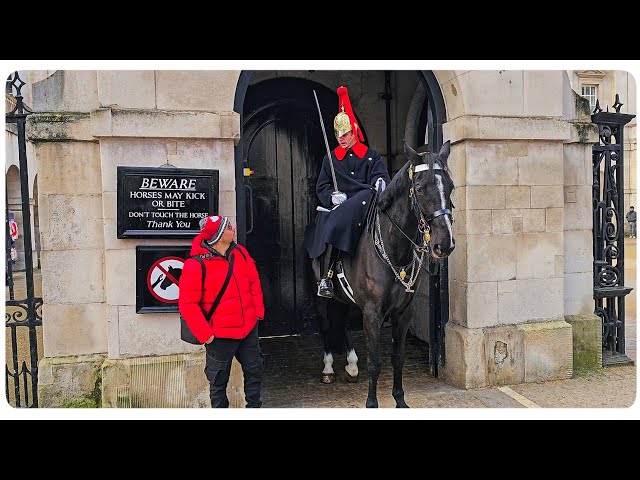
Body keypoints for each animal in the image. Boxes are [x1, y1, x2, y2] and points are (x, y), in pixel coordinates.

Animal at [312, 141, 456, 406]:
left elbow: (397, 358)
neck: (395, 249)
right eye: (419, 188)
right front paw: (371, 403)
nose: (445, 244)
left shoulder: (403, 313)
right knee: (326, 325)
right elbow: (375, 362)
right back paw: (328, 369)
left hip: (347, 299)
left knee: (345, 323)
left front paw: (400, 400)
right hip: (320, 297)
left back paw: (351, 366)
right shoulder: (372, 313)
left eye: (450, 186)